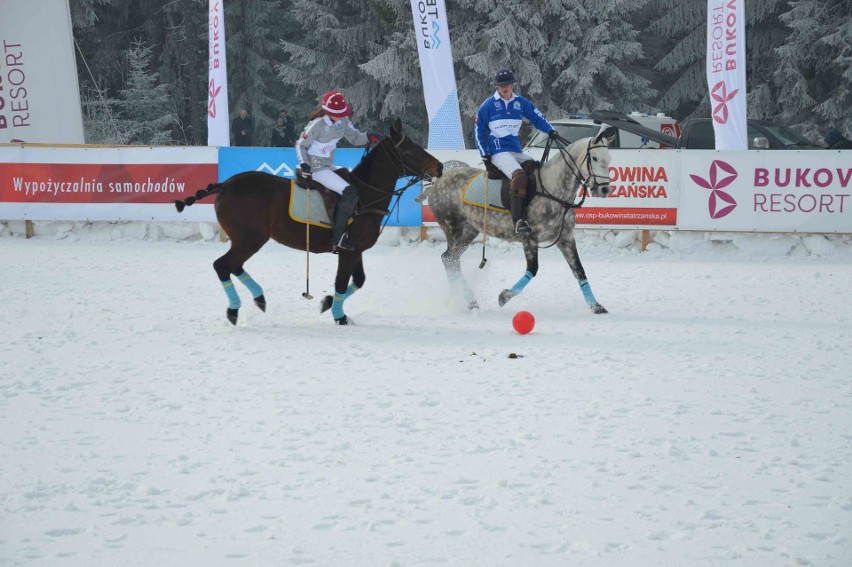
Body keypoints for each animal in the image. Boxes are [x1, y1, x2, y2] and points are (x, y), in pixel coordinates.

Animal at [178, 119, 446, 324]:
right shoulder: (347, 250)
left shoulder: (355, 250)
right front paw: (339, 316)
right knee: (222, 265)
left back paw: (259, 298)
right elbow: (341, 282)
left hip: (247, 239)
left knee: (234, 266)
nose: (440, 166)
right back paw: (234, 309)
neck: (366, 195)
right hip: (250, 238)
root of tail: (224, 185)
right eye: (410, 148)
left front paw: (328, 303)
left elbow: (358, 281)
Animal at [426, 131, 612, 312]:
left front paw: (596, 306)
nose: (604, 189)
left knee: (450, 259)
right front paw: (504, 296)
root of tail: (437, 181)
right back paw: (467, 301)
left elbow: (579, 270)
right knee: (449, 260)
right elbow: (532, 270)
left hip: (468, 231)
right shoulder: (530, 238)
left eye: (609, 159)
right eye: (594, 158)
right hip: (453, 227)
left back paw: (464, 300)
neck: (553, 190)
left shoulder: (565, 238)